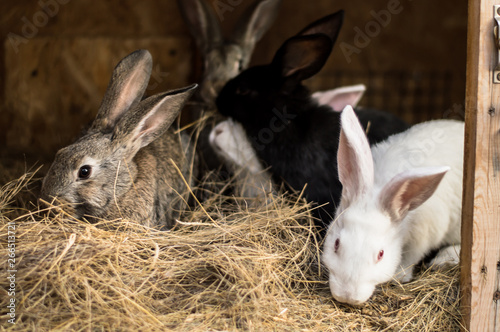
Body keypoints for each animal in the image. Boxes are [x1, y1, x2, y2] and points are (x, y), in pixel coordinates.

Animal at [322, 106, 462, 306]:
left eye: (381, 254)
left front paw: (399, 276)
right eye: (336, 244)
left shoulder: (423, 235)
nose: (348, 297)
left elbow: (411, 257)